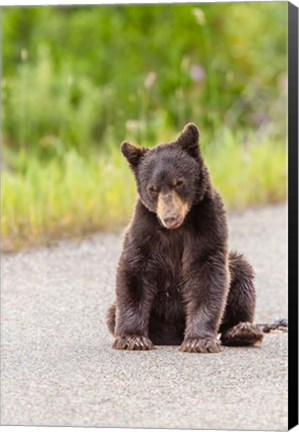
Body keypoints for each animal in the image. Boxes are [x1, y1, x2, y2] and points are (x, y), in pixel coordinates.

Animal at [106, 123, 264, 352]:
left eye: (178, 182)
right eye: (152, 189)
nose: (169, 217)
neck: (176, 230)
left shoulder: (207, 223)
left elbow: (207, 271)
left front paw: (198, 340)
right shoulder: (145, 230)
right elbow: (134, 270)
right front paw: (132, 338)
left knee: (241, 275)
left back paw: (242, 331)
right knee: (112, 312)